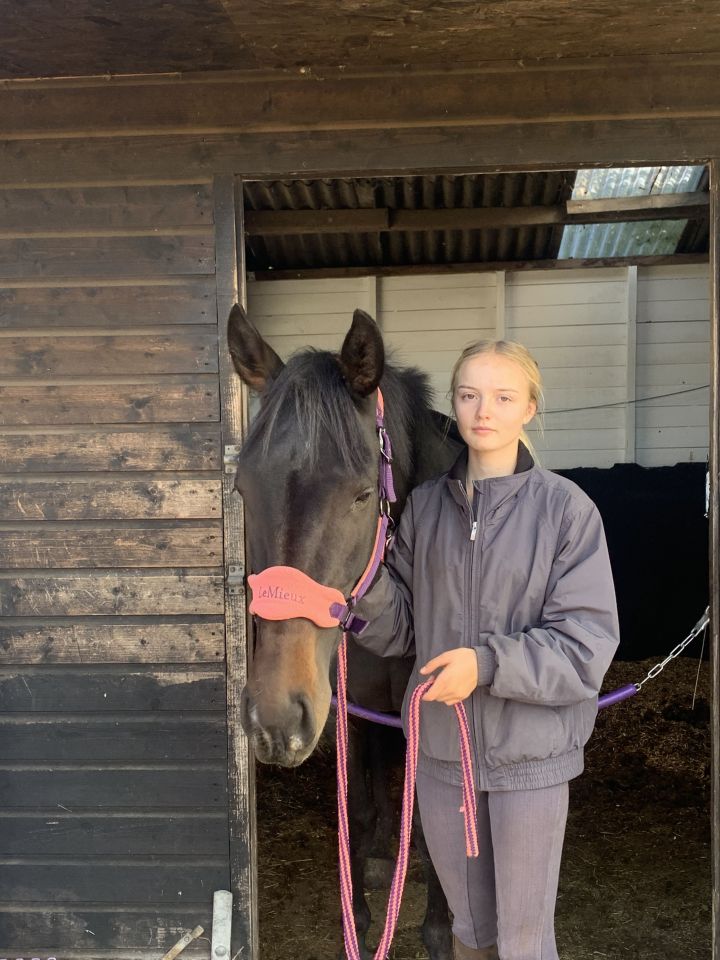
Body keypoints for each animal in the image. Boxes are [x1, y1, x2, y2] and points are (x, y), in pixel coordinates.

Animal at [228, 304, 458, 956]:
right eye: (242, 488)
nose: (274, 718)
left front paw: (438, 927)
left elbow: (429, 812)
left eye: (361, 495)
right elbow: (355, 806)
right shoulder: (348, 703)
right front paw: (356, 907)